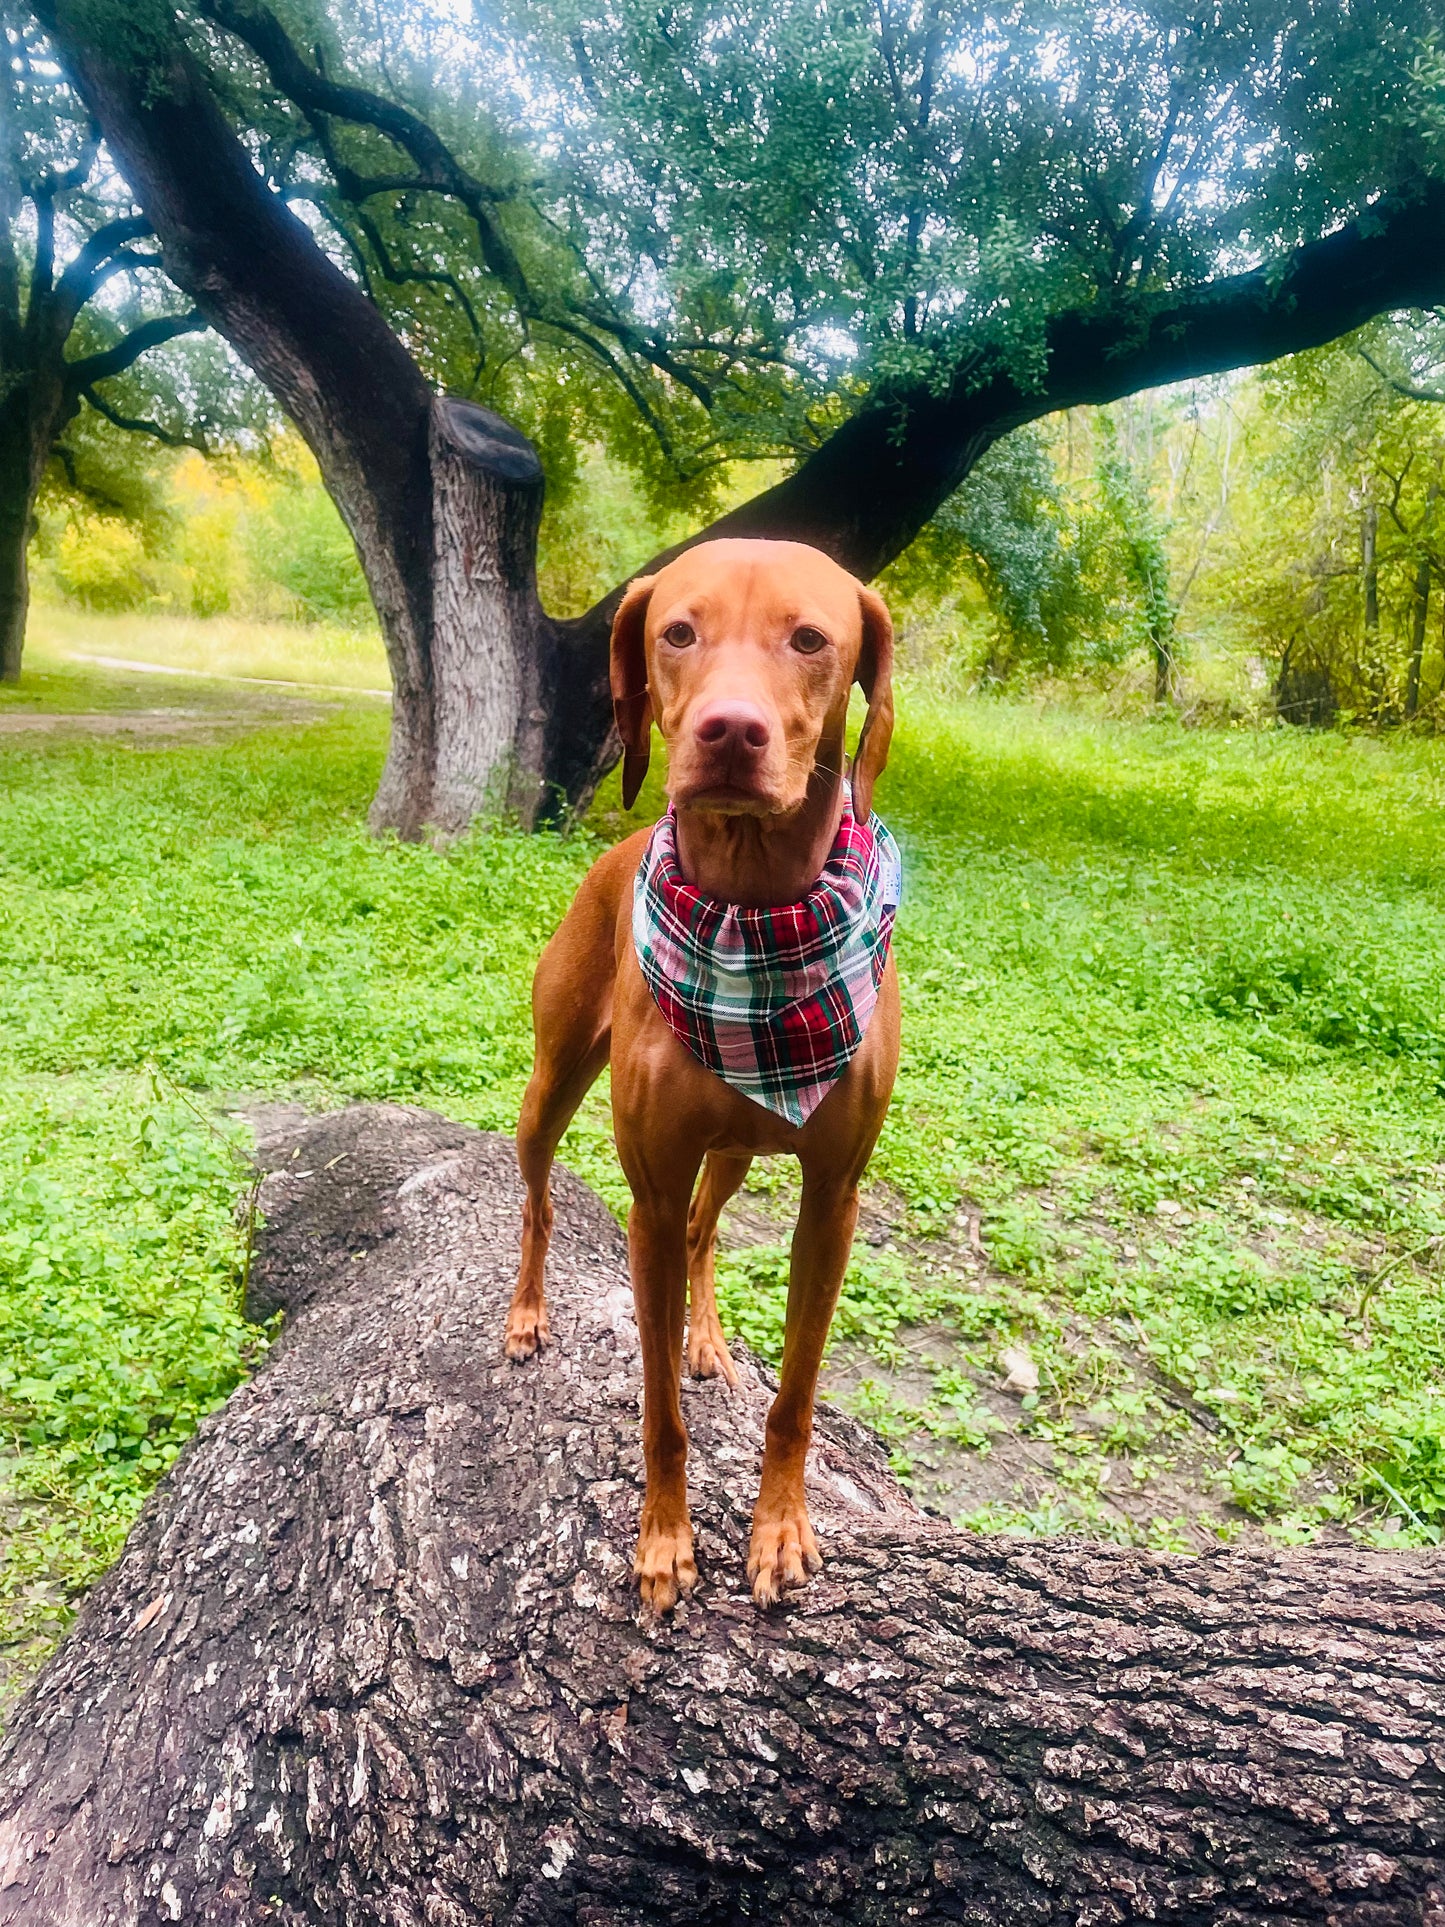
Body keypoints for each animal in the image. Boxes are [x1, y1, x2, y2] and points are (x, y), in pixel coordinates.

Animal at [504, 539, 901, 1610]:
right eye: (677, 631)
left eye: (810, 638)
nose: (729, 730)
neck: (753, 909)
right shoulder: (646, 1190)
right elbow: (659, 1415)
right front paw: (662, 1541)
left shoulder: (832, 1197)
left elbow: (795, 1397)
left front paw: (779, 1528)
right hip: (550, 1086)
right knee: (540, 1198)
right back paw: (526, 1313)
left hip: (736, 1146)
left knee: (704, 1229)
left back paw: (707, 1339)